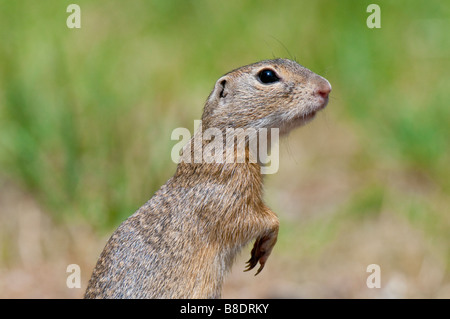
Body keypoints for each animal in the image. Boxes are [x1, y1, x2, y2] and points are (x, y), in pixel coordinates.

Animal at [84, 58, 330, 300]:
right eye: (267, 76)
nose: (326, 88)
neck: (228, 140)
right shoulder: (227, 187)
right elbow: (248, 218)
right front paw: (267, 240)